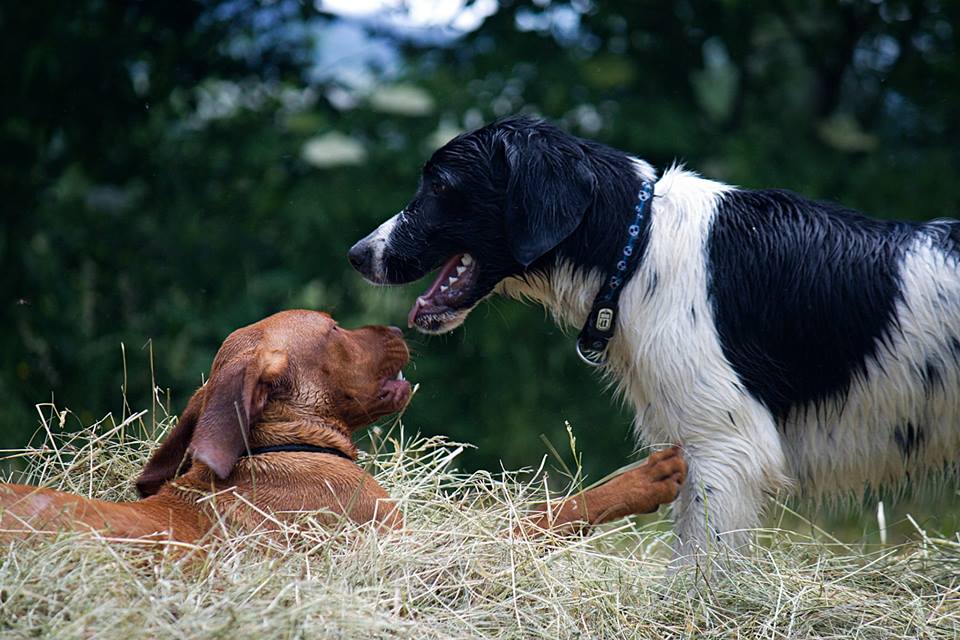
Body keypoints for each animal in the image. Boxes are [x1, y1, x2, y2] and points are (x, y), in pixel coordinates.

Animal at [3, 310, 688, 540]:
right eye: (334, 327)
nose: (402, 324)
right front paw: (647, 477)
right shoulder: (420, 555)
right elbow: (538, 518)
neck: (279, 447)